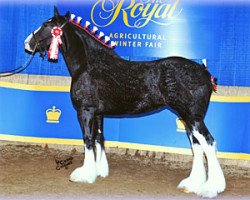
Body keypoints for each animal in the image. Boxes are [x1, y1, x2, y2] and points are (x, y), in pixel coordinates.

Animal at [24, 7, 226, 198]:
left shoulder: (85, 110)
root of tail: (204, 71)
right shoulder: (98, 113)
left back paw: (211, 188)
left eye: (46, 25)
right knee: (197, 145)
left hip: (193, 117)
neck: (89, 65)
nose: (27, 43)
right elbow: (99, 138)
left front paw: (85, 175)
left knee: (208, 143)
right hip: (188, 118)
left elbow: (88, 139)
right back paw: (193, 184)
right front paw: (99, 171)